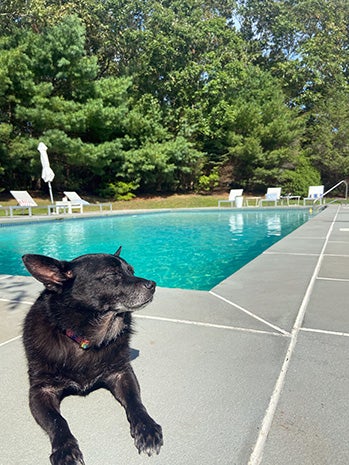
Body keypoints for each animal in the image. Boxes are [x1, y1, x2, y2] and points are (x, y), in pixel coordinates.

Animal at [21, 248, 162, 464]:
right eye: (112, 274)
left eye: (131, 271)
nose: (153, 284)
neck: (88, 338)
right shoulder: (40, 392)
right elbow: (58, 421)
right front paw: (65, 449)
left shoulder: (122, 374)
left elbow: (135, 402)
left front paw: (146, 428)